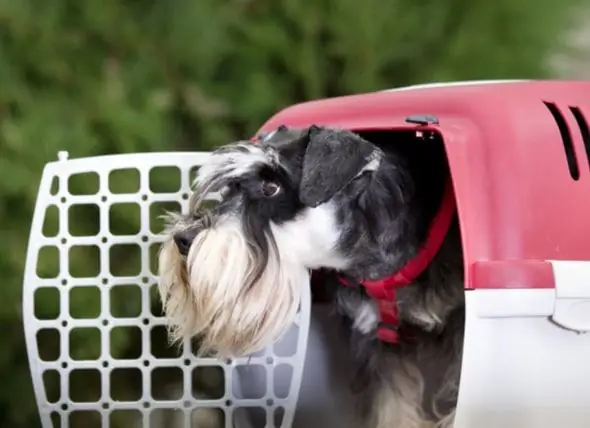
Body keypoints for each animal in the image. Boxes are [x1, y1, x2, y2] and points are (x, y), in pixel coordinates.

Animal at [157, 126, 468, 428]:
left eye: (271, 188)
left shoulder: (460, 331)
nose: (183, 239)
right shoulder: (377, 347)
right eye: (229, 189)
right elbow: (391, 410)